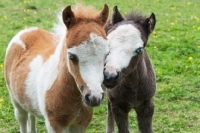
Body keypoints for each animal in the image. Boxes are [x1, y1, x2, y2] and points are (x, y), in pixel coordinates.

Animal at [3, 4, 108, 133]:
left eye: (106, 55)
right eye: (71, 56)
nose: (94, 97)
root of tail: (26, 30)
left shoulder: (81, 124)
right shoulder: (54, 124)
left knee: (31, 116)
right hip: (15, 99)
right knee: (22, 117)